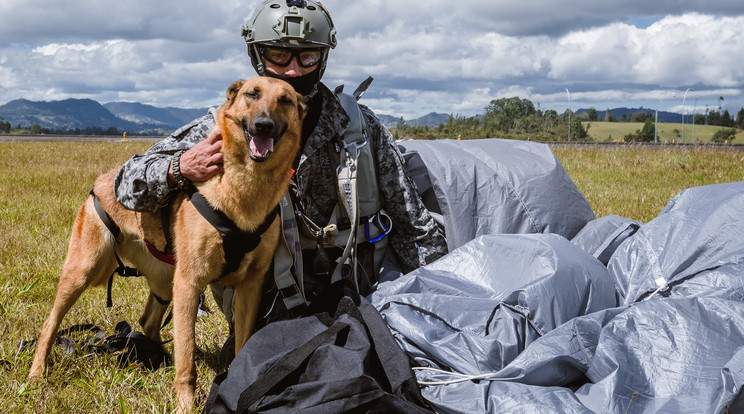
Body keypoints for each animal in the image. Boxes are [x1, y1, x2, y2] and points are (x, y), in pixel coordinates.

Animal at [26, 77, 306, 410]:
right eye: (252, 94)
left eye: (285, 100)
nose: (263, 125)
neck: (245, 185)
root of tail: (102, 181)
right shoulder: (190, 283)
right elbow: (188, 361)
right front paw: (185, 404)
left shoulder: (250, 286)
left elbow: (242, 344)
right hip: (83, 273)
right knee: (50, 324)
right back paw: (36, 374)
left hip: (164, 281)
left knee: (148, 321)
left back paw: (159, 357)